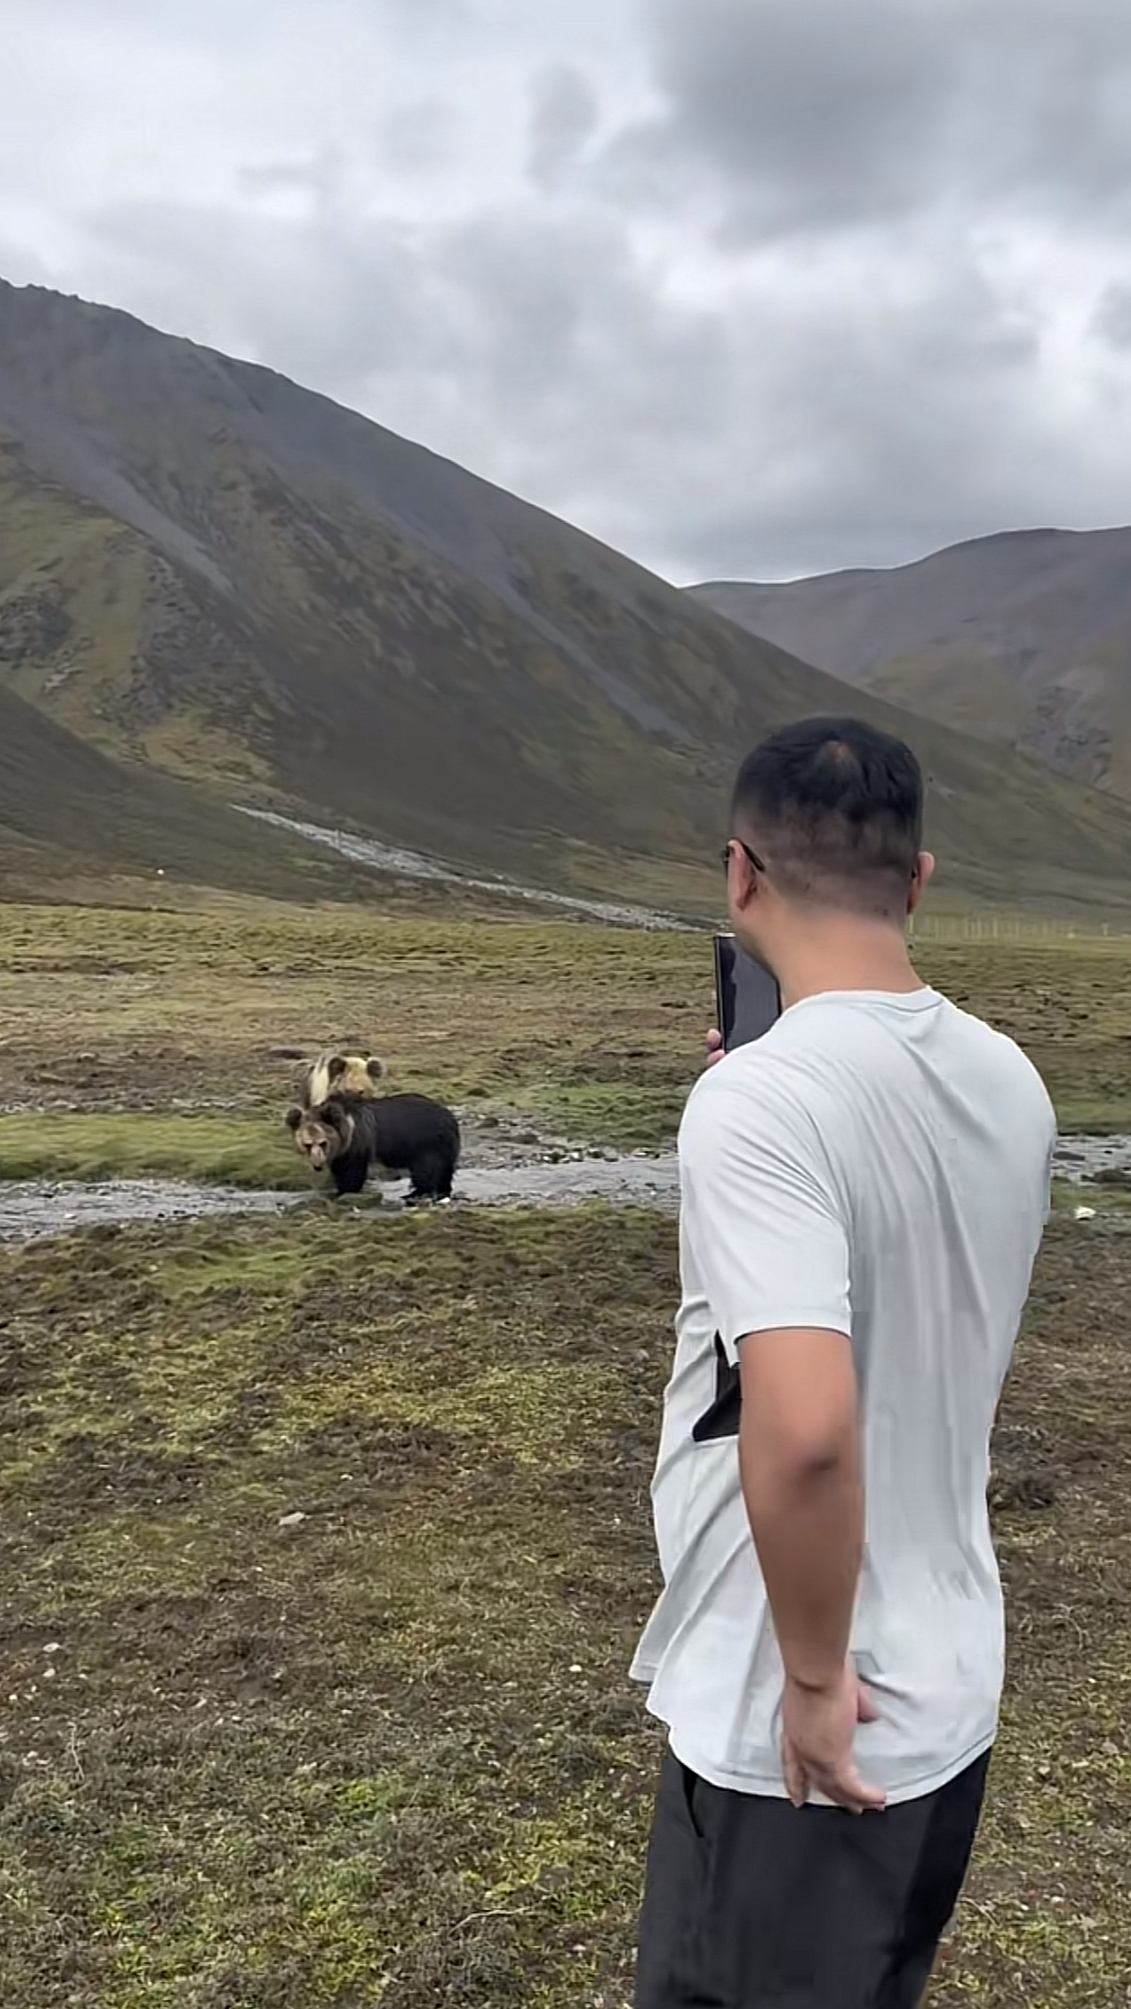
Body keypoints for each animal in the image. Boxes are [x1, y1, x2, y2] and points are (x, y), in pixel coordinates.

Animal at [287, 1092, 460, 1197]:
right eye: (307, 1144)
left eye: (323, 1143)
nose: (317, 1165)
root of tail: (449, 1116)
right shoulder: (340, 1152)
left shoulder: (356, 1144)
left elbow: (351, 1172)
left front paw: (345, 1191)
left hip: (426, 1142)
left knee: (426, 1169)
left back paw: (416, 1193)